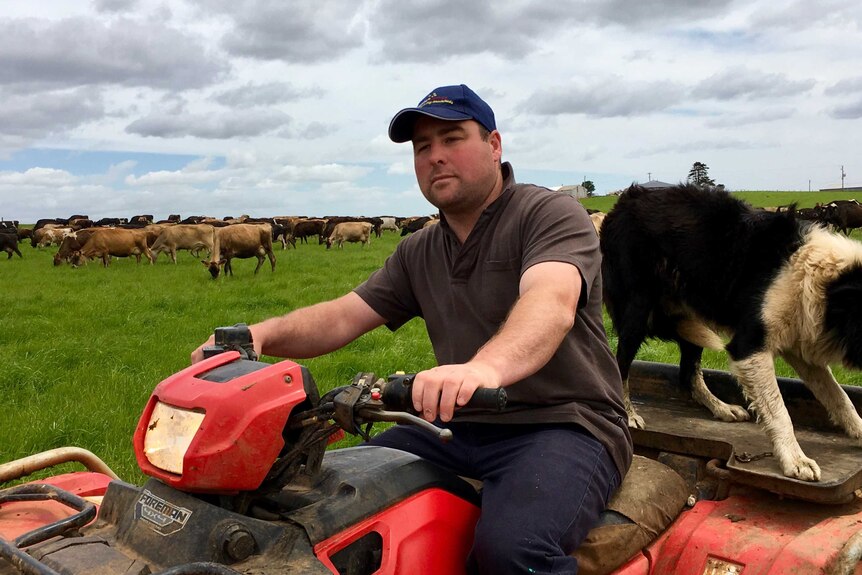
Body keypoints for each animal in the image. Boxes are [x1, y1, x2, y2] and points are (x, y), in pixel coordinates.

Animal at [600, 184, 862, 482]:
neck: (823, 282)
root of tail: (622, 202)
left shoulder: (800, 346)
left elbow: (839, 397)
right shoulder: (749, 347)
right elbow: (779, 411)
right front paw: (795, 459)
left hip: (689, 318)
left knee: (688, 374)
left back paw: (721, 408)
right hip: (638, 311)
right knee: (620, 366)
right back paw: (629, 414)